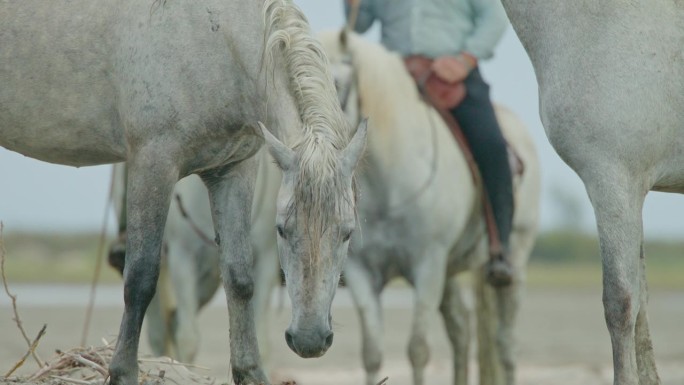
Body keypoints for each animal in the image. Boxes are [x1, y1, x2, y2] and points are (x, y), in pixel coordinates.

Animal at [320, 30, 540, 385]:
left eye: (337, 83)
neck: (389, 183)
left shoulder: (428, 266)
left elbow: (418, 349)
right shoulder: (362, 273)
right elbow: (372, 353)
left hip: (513, 263)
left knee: (506, 343)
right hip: (449, 272)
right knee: (461, 328)